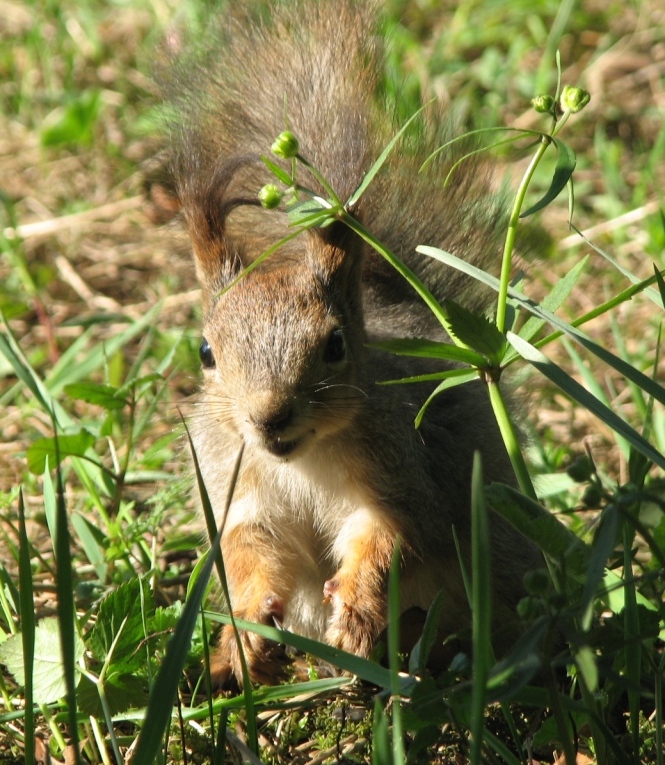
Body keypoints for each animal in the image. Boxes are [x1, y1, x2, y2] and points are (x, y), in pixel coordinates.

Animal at [158, 0, 544, 688]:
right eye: (205, 353)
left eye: (336, 344)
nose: (269, 417)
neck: (301, 462)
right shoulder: (240, 488)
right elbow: (248, 550)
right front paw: (246, 627)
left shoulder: (402, 467)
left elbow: (390, 537)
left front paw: (359, 610)